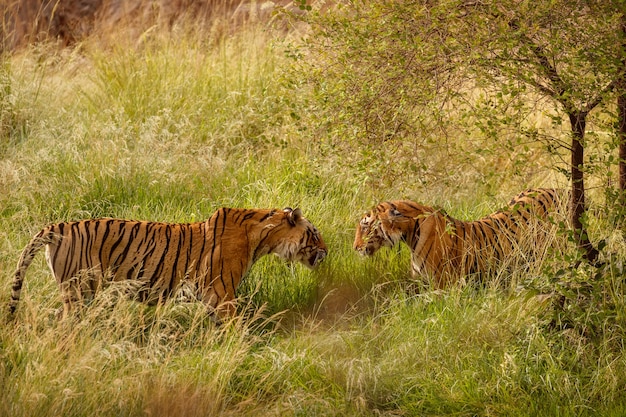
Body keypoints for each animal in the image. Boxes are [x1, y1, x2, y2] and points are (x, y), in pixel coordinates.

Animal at [9, 206, 326, 320]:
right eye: (314, 233)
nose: (326, 250)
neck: (263, 237)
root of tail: (58, 225)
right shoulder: (222, 293)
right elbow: (235, 326)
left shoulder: (212, 297)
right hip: (79, 292)